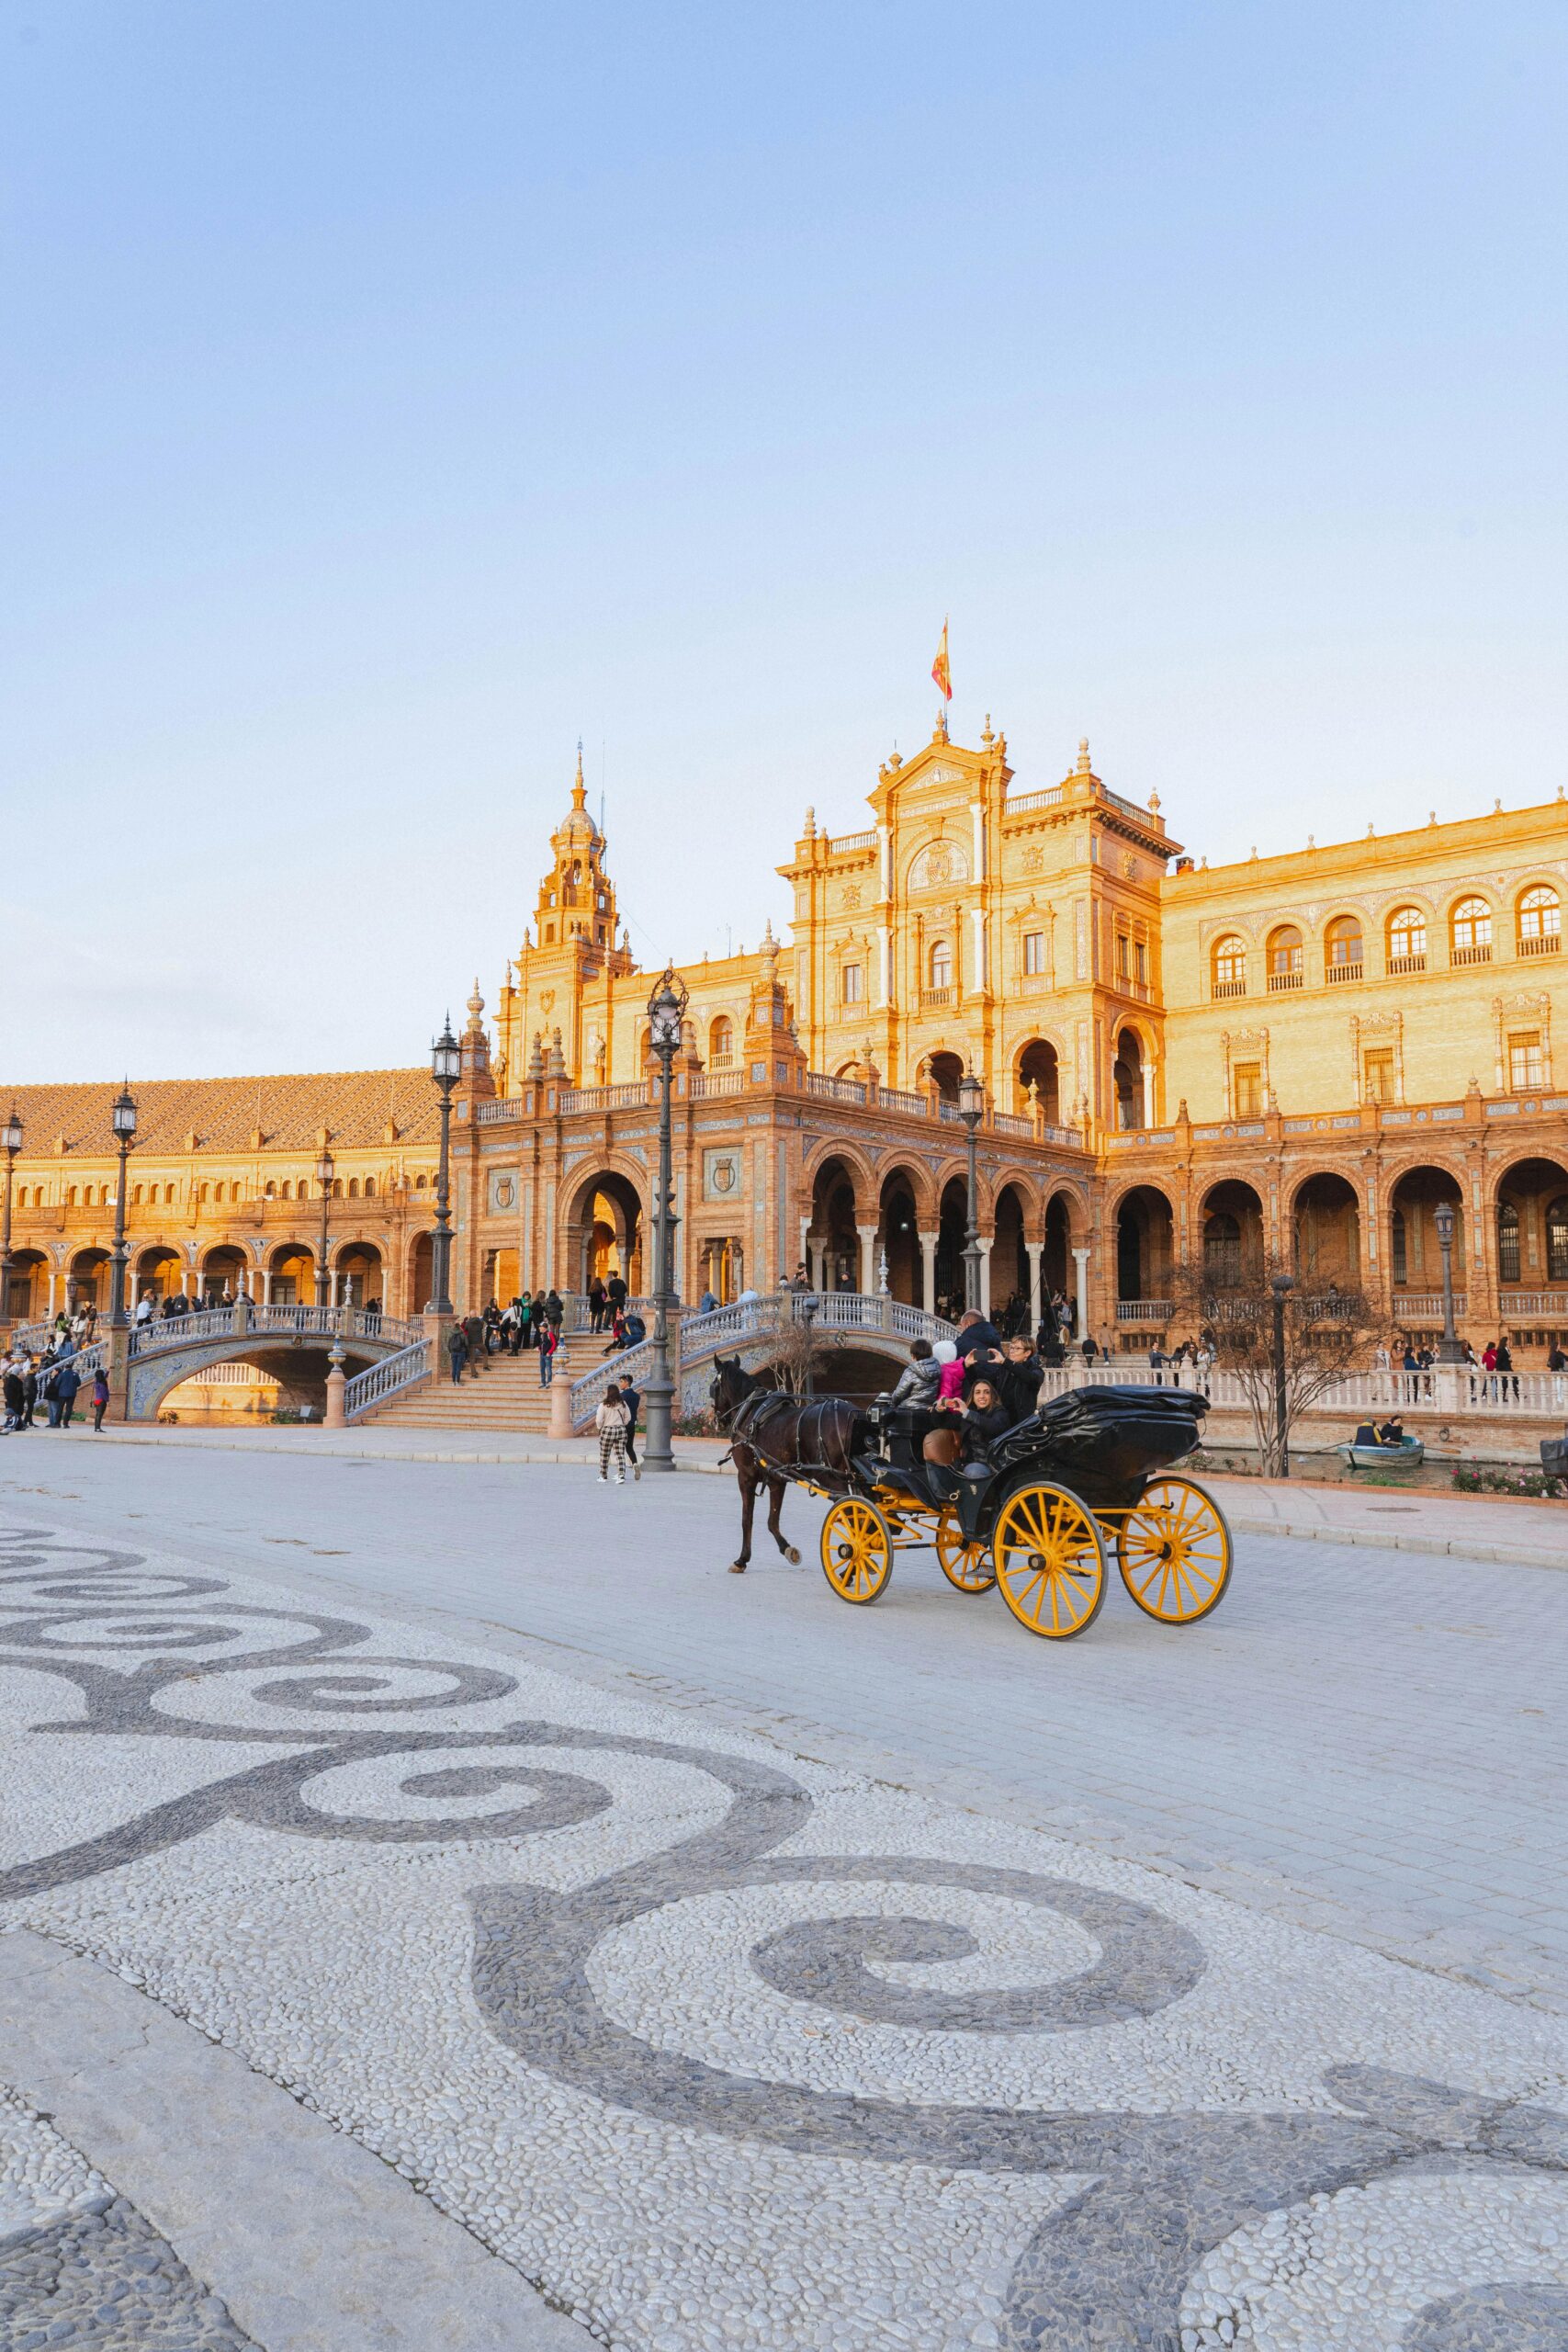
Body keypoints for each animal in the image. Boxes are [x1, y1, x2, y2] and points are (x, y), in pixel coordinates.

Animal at [715, 1363, 869, 1580]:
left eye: (714, 1387)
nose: (718, 1421)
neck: (751, 1411)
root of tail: (853, 1415)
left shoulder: (746, 1476)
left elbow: (747, 1519)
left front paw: (742, 1560)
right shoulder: (776, 1478)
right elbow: (772, 1521)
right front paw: (788, 1550)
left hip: (830, 1476)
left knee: (854, 1515)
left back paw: (852, 1564)